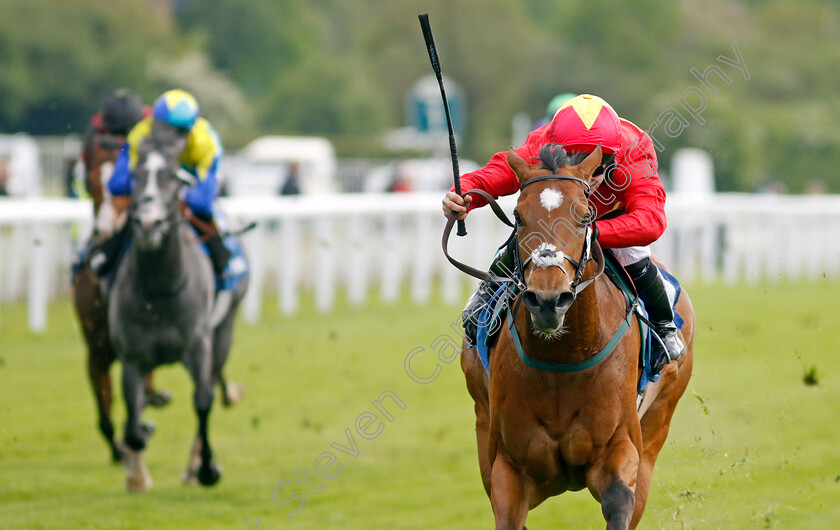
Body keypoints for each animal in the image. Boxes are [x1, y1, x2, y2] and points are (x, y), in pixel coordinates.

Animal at [108, 120, 248, 490]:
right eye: (136, 175)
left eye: (173, 175)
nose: (148, 222)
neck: (159, 290)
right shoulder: (133, 356)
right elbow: (133, 421)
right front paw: (137, 465)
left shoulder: (198, 344)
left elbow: (202, 401)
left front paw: (207, 469)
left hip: (224, 332)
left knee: (211, 384)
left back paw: (194, 467)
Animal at [460, 145, 696, 528]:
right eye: (518, 216)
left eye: (586, 217)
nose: (547, 300)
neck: (563, 357)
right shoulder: (507, 467)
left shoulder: (621, 448)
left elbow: (618, 499)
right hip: (482, 417)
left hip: (658, 423)